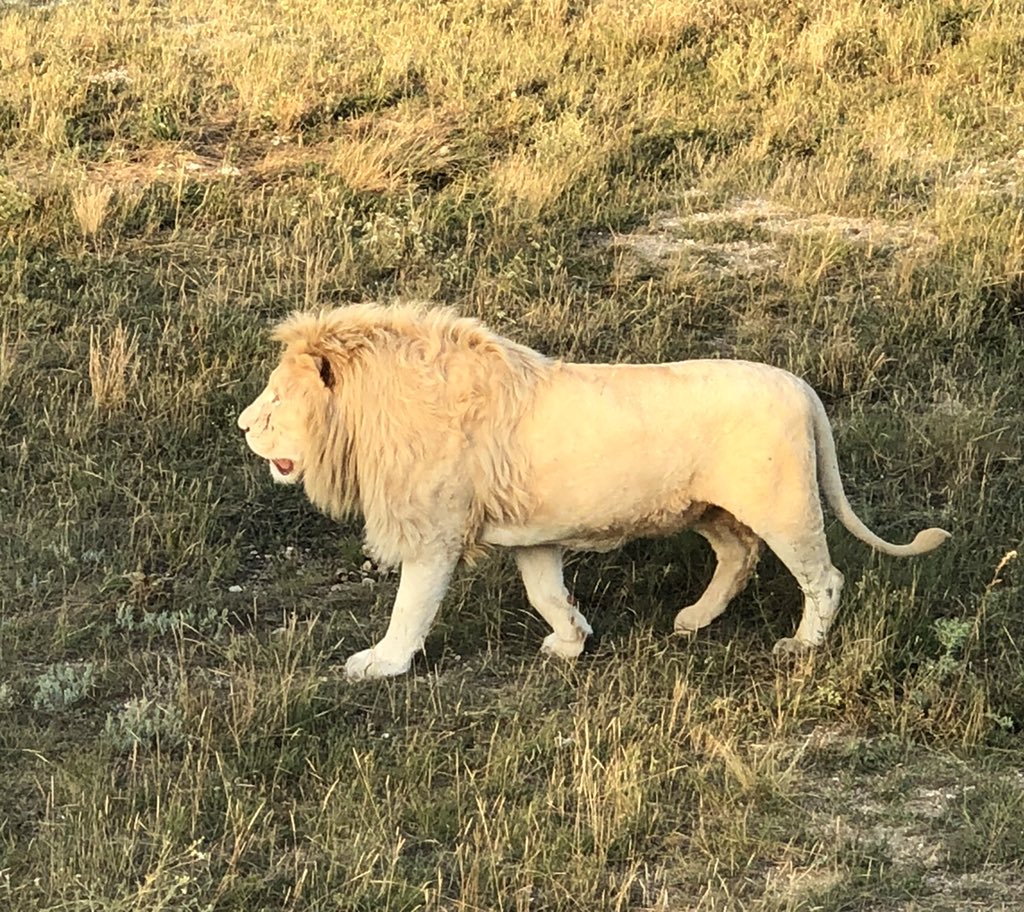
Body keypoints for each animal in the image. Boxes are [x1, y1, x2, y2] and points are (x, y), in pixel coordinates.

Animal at [235, 302, 946, 679]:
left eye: (275, 397)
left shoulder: (436, 533)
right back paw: (692, 620)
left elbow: (411, 606)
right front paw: (572, 640)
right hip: (711, 510)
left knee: (823, 578)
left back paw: (802, 646)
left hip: (783, 508)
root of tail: (804, 389)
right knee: (738, 557)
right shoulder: (530, 532)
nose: (241, 425)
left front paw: (381, 664)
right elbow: (545, 592)